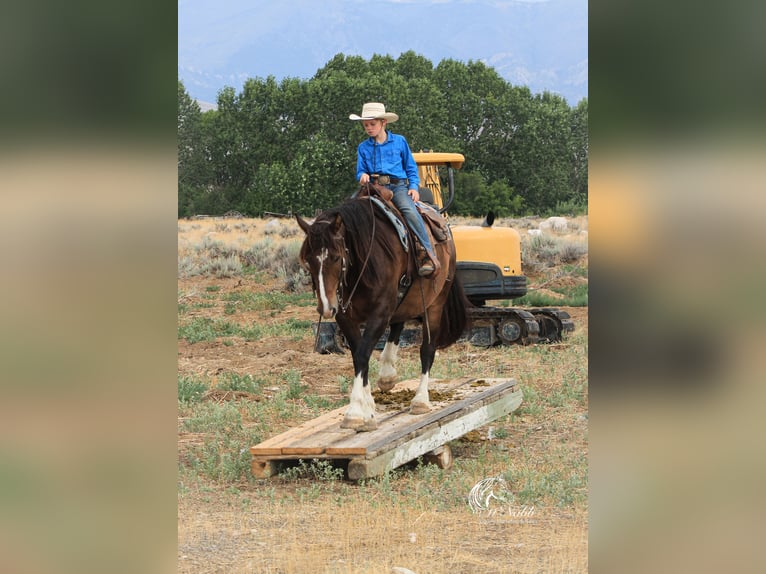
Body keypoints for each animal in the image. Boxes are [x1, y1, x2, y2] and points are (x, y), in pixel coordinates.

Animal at [296, 194, 472, 432]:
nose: (325, 306)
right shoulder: (345, 316)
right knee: (398, 325)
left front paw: (355, 412)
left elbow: (363, 353)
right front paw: (368, 407)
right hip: (403, 301)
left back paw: (420, 400)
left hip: (434, 304)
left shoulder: (380, 312)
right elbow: (358, 355)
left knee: (427, 350)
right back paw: (388, 374)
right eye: (308, 260)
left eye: (335, 257)